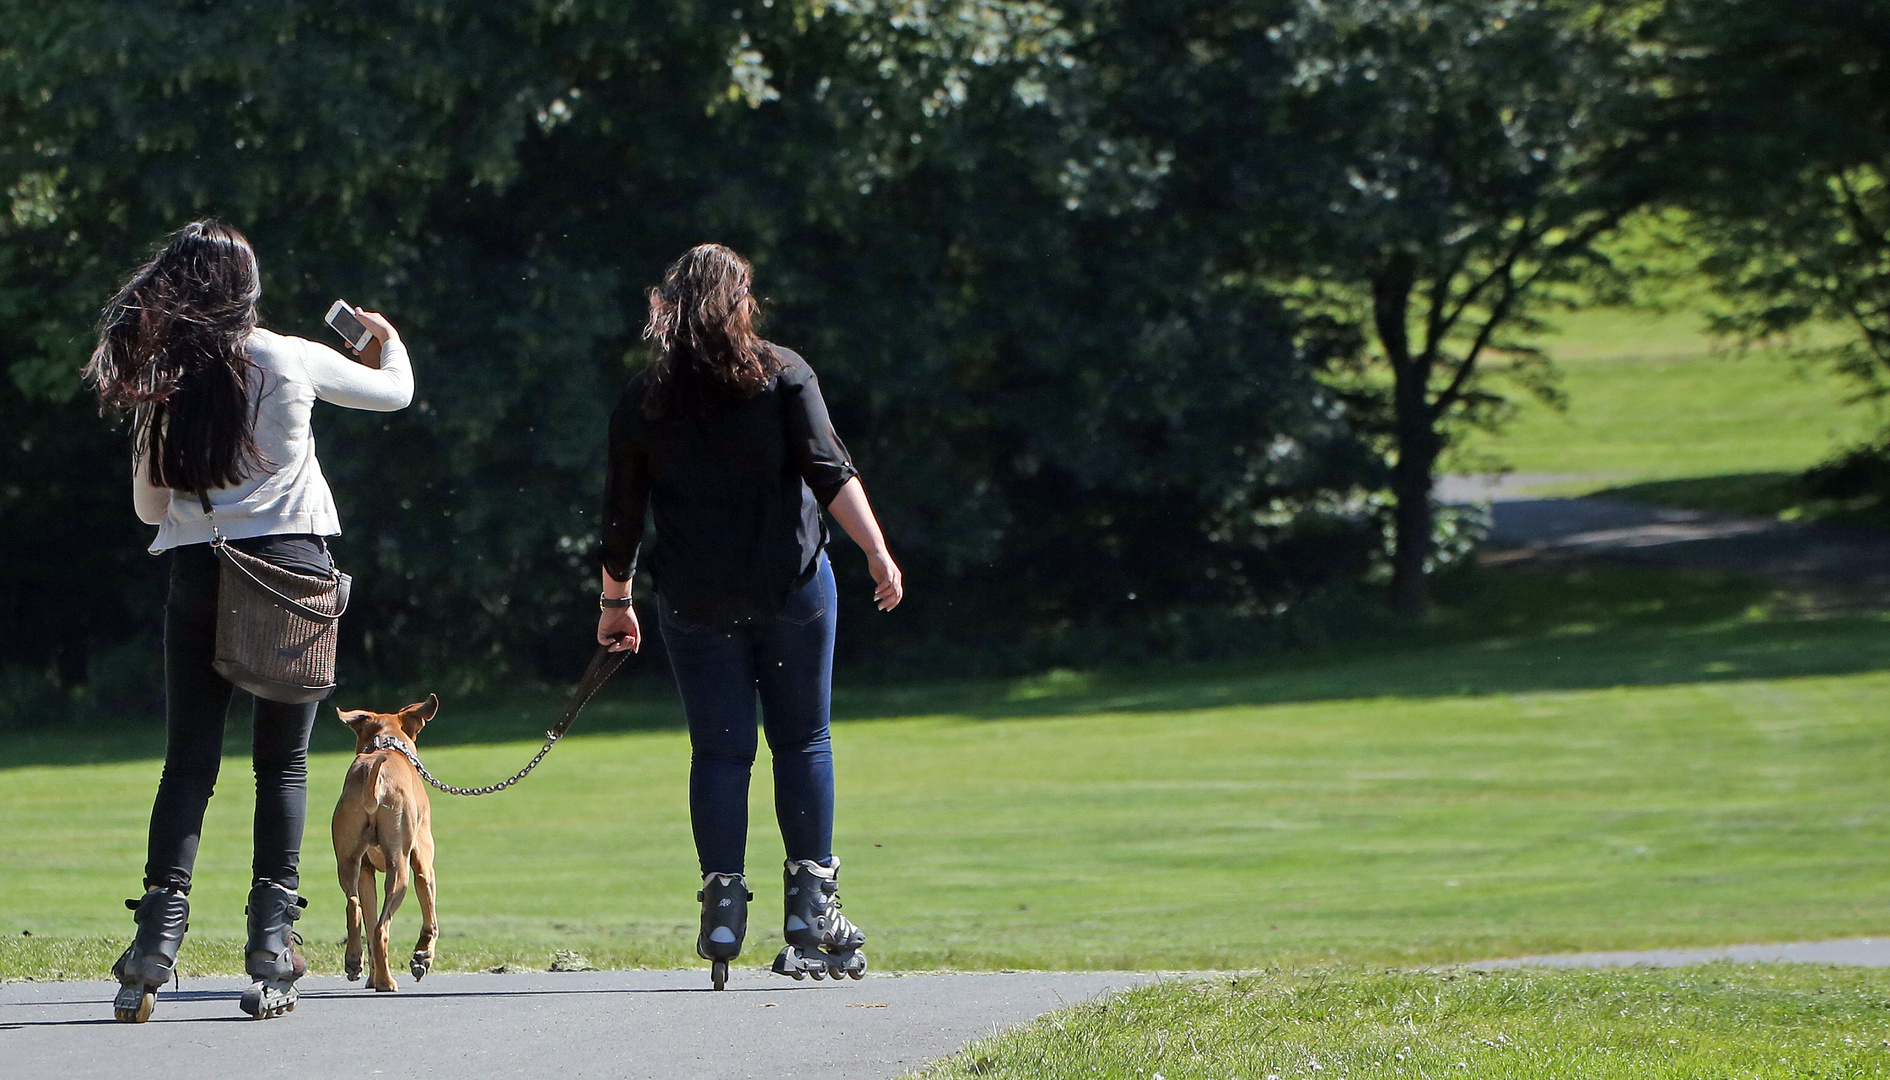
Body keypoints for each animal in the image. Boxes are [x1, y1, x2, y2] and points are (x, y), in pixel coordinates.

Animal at [332, 696, 438, 991]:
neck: (387, 742)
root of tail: (374, 777)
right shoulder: (423, 865)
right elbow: (431, 919)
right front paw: (422, 956)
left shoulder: (366, 872)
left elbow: (368, 920)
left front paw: (370, 975)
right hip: (399, 869)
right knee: (381, 929)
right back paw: (387, 982)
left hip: (348, 863)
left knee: (356, 910)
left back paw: (356, 963)